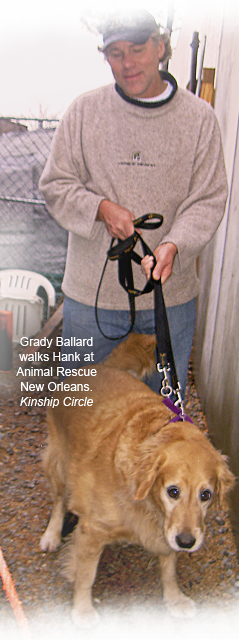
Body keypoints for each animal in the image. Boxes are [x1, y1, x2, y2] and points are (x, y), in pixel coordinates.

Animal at [40, 336, 234, 632]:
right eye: (173, 491)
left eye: (206, 495)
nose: (187, 542)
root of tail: (100, 366)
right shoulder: (92, 531)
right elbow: (86, 574)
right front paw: (82, 609)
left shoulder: (167, 530)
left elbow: (169, 568)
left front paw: (174, 598)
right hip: (60, 465)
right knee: (60, 503)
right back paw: (51, 535)